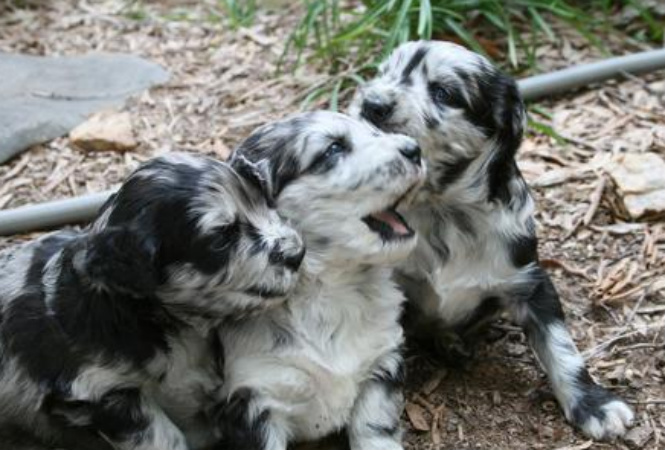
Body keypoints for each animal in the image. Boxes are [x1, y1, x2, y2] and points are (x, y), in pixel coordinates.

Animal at [215, 111, 426, 450]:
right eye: (333, 149)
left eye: (374, 130)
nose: (415, 149)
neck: (329, 290)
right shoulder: (253, 397)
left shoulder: (382, 362)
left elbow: (374, 427)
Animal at [350, 40, 632, 442]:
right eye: (384, 73)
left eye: (443, 92)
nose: (371, 104)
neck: (442, 211)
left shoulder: (531, 281)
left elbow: (562, 348)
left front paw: (596, 405)